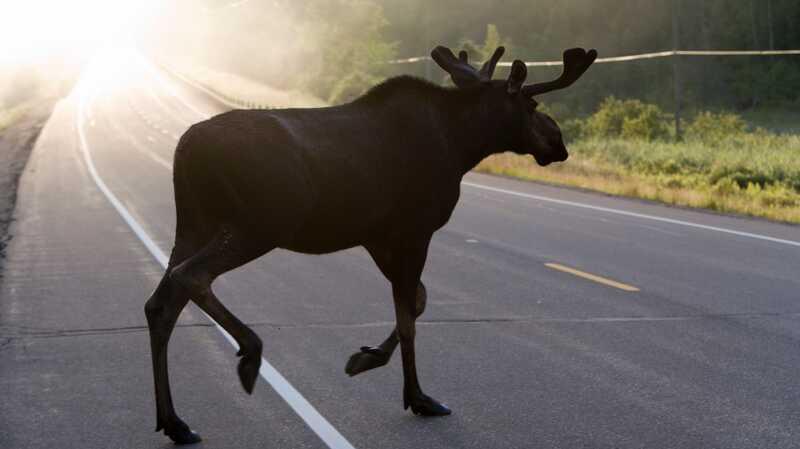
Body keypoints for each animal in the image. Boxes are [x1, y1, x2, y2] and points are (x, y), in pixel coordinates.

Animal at [145, 43, 592, 442]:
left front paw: (367, 357)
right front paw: (418, 397)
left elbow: (417, 301)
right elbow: (409, 317)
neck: (463, 145)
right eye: (531, 106)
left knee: (160, 305)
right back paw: (249, 353)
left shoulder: (377, 235)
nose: (559, 142)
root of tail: (185, 149)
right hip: (258, 224)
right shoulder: (414, 228)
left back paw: (175, 422)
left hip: (194, 224)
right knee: (190, 276)